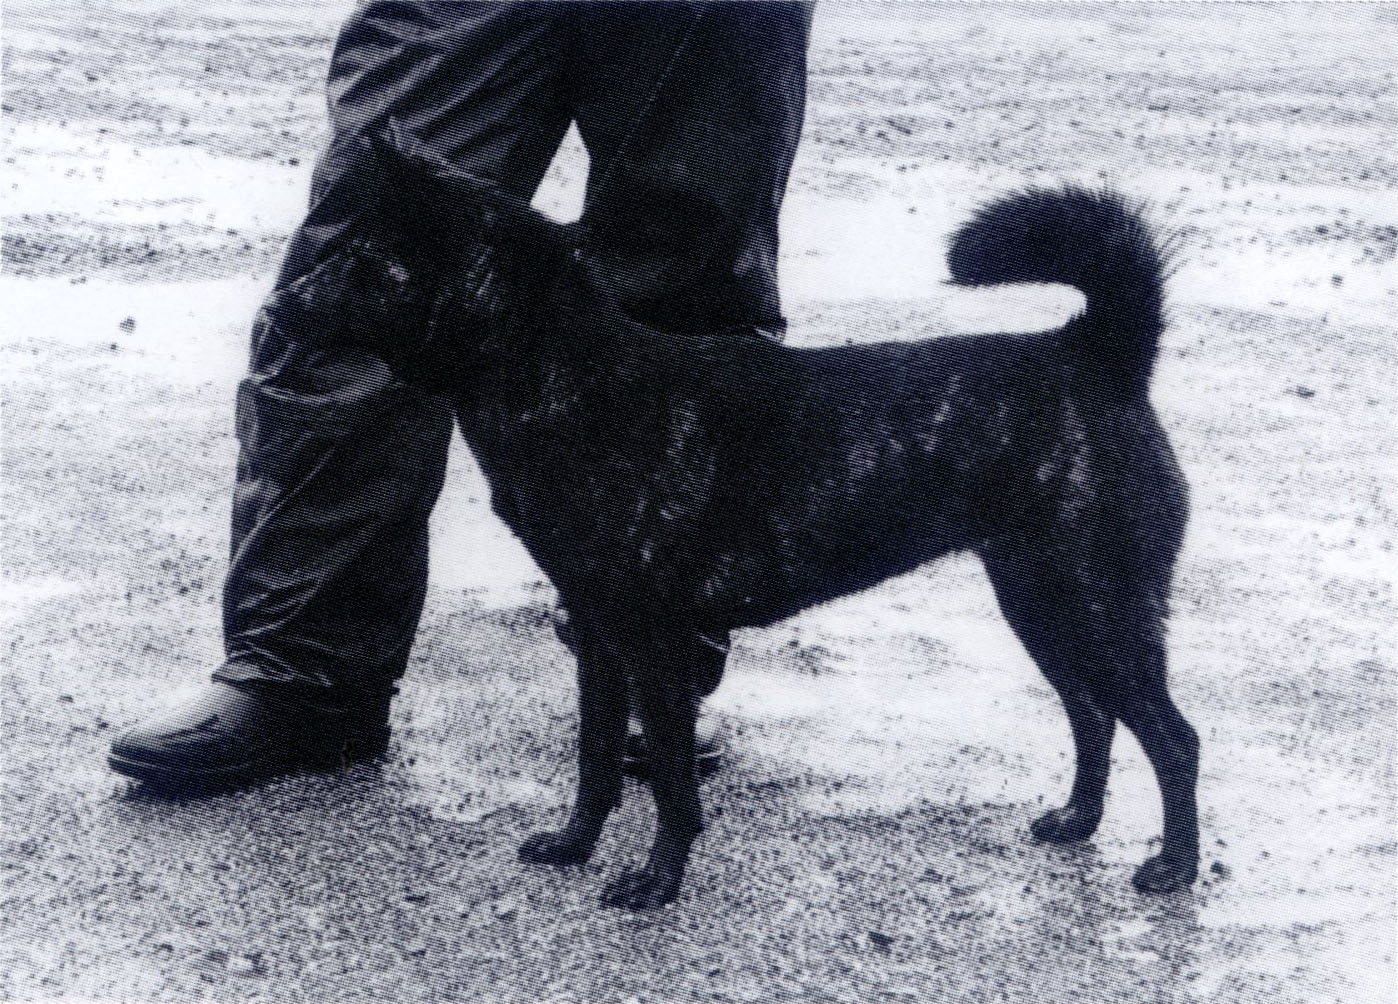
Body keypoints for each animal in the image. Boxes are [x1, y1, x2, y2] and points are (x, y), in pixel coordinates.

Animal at [279, 131, 1200, 910]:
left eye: (364, 260)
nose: (283, 302)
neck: (567, 375)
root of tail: (1099, 351)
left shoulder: (654, 640)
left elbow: (672, 780)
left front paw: (656, 881)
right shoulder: (597, 634)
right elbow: (595, 759)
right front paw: (575, 845)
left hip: (1100, 608)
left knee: (1172, 737)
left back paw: (1176, 868)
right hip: (1042, 604)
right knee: (1094, 716)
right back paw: (1077, 822)